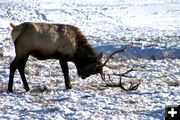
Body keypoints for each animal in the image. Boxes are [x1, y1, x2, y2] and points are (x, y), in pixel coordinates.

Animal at [7, 22, 139, 92]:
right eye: (93, 68)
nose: (82, 76)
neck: (76, 51)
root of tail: (14, 28)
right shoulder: (62, 56)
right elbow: (66, 71)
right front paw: (69, 86)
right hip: (23, 51)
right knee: (15, 66)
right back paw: (16, 88)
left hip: (24, 52)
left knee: (18, 66)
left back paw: (21, 87)